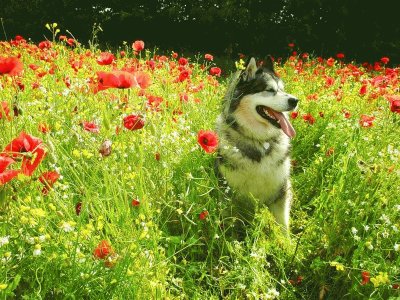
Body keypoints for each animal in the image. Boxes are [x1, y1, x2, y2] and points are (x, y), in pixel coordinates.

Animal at [217, 56, 298, 232]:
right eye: (269, 90)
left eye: (282, 89)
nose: (295, 100)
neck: (260, 140)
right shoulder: (228, 192)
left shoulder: (281, 191)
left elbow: (283, 226)